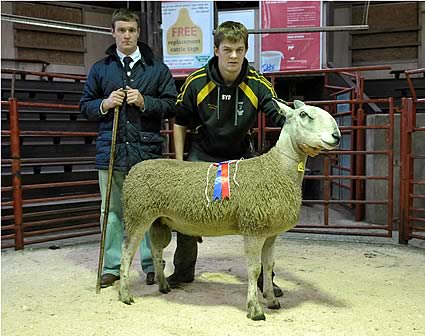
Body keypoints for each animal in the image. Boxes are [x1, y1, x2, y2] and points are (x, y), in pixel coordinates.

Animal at [117, 100, 342, 320]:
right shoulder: (253, 228)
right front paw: (255, 310)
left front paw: (271, 300)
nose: (337, 136)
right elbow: (254, 269)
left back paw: (163, 285)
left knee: (156, 250)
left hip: (159, 220)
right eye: (304, 115)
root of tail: (135, 169)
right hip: (137, 214)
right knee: (126, 252)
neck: (277, 168)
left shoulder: (271, 233)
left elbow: (269, 266)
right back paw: (125, 294)